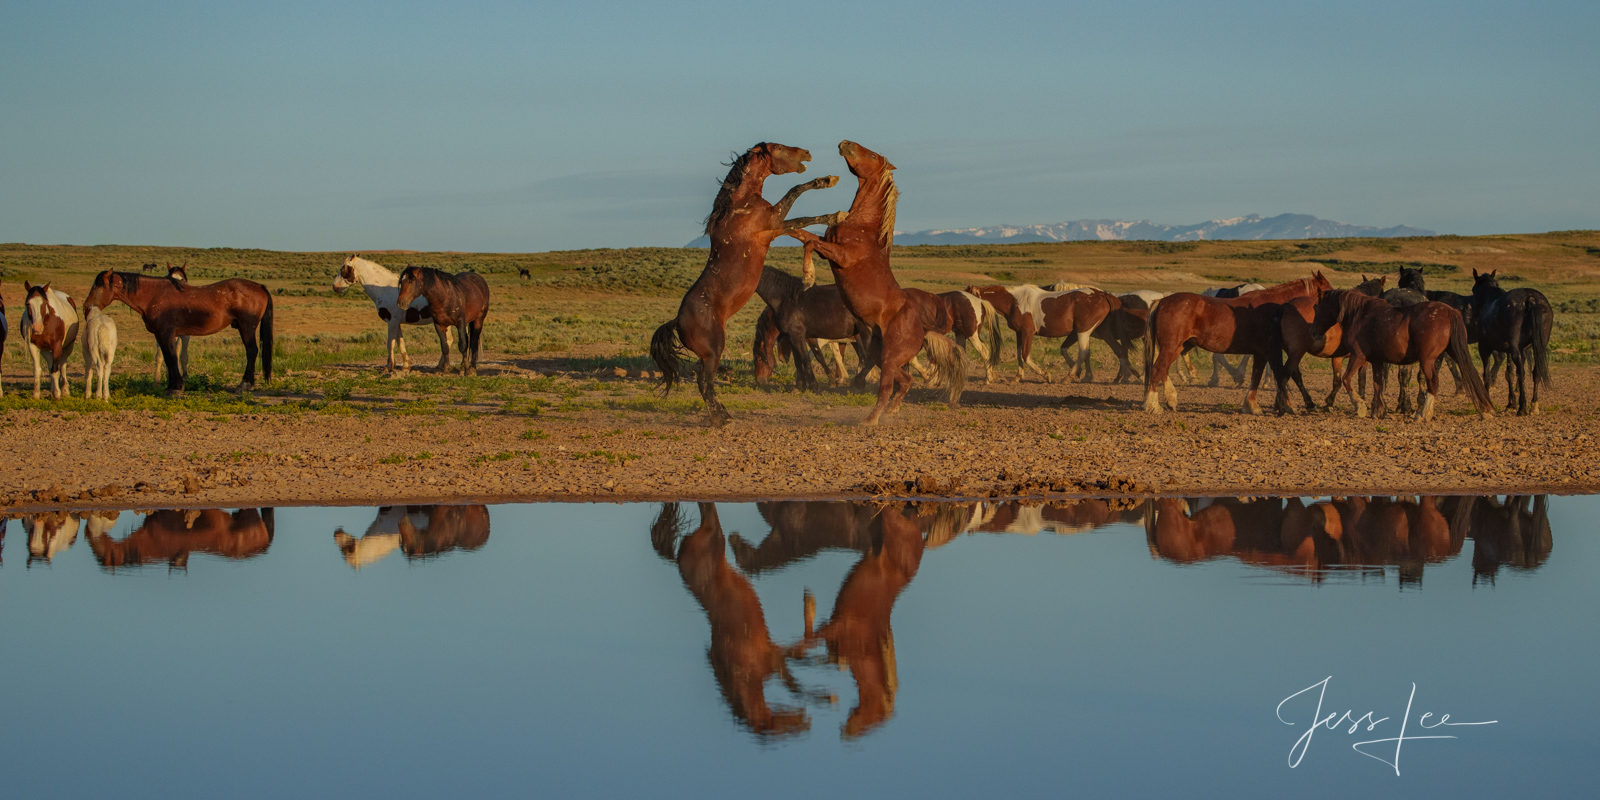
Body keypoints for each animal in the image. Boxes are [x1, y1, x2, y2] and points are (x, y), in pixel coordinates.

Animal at [86, 268, 275, 393]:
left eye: (97, 286)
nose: (86, 307)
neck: (154, 296)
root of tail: (260, 286)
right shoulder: (161, 335)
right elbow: (167, 358)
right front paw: (171, 385)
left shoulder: (167, 333)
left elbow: (172, 357)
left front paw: (176, 387)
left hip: (247, 328)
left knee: (252, 351)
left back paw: (245, 384)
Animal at [649, 142, 851, 425]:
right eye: (779, 148)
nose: (806, 153)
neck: (739, 205)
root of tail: (677, 321)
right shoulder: (773, 221)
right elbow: (796, 197)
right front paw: (834, 207)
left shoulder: (775, 228)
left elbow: (800, 227)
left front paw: (829, 189)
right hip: (714, 351)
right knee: (704, 383)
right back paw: (722, 419)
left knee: (705, 383)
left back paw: (723, 415)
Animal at [793, 140, 966, 425]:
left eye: (873, 155)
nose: (845, 143)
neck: (863, 226)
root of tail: (922, 330)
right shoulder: (828, 247)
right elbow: (802, 236)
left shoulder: (841, 256)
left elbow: (810, 243)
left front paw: (808, 277)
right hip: (880, 354)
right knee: (905, 380)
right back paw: (891, 411)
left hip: (890, 356)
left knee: (887, 386)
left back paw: (871, 420)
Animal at [1318, 291, 1491, 422]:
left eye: (1317, 306)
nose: (1316, 335)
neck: (1360, 315)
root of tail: (1450, 311)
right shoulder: (1376, 361)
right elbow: (1377, 384)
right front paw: (1378, 411)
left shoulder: (1358, 356)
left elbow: (1346, 379)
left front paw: (1360, 406)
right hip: (1455, 352)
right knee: (1470, 374)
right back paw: (1484, 410)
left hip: (1427, 360)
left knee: (1433, 382)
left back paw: (1423, 414)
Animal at [1465, 270, 1555, 416]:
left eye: (1474, 289)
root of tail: (1531, 299)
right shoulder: (1510, 350)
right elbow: (1509, 374)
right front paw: (1511, 403)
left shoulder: (1484, 348)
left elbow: (1487, 374)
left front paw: (1487, 404)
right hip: (1538, 347)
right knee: (1535, 372)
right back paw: (1533, 405)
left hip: (1515, 350)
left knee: (1522, 372)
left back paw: (1522, 408)